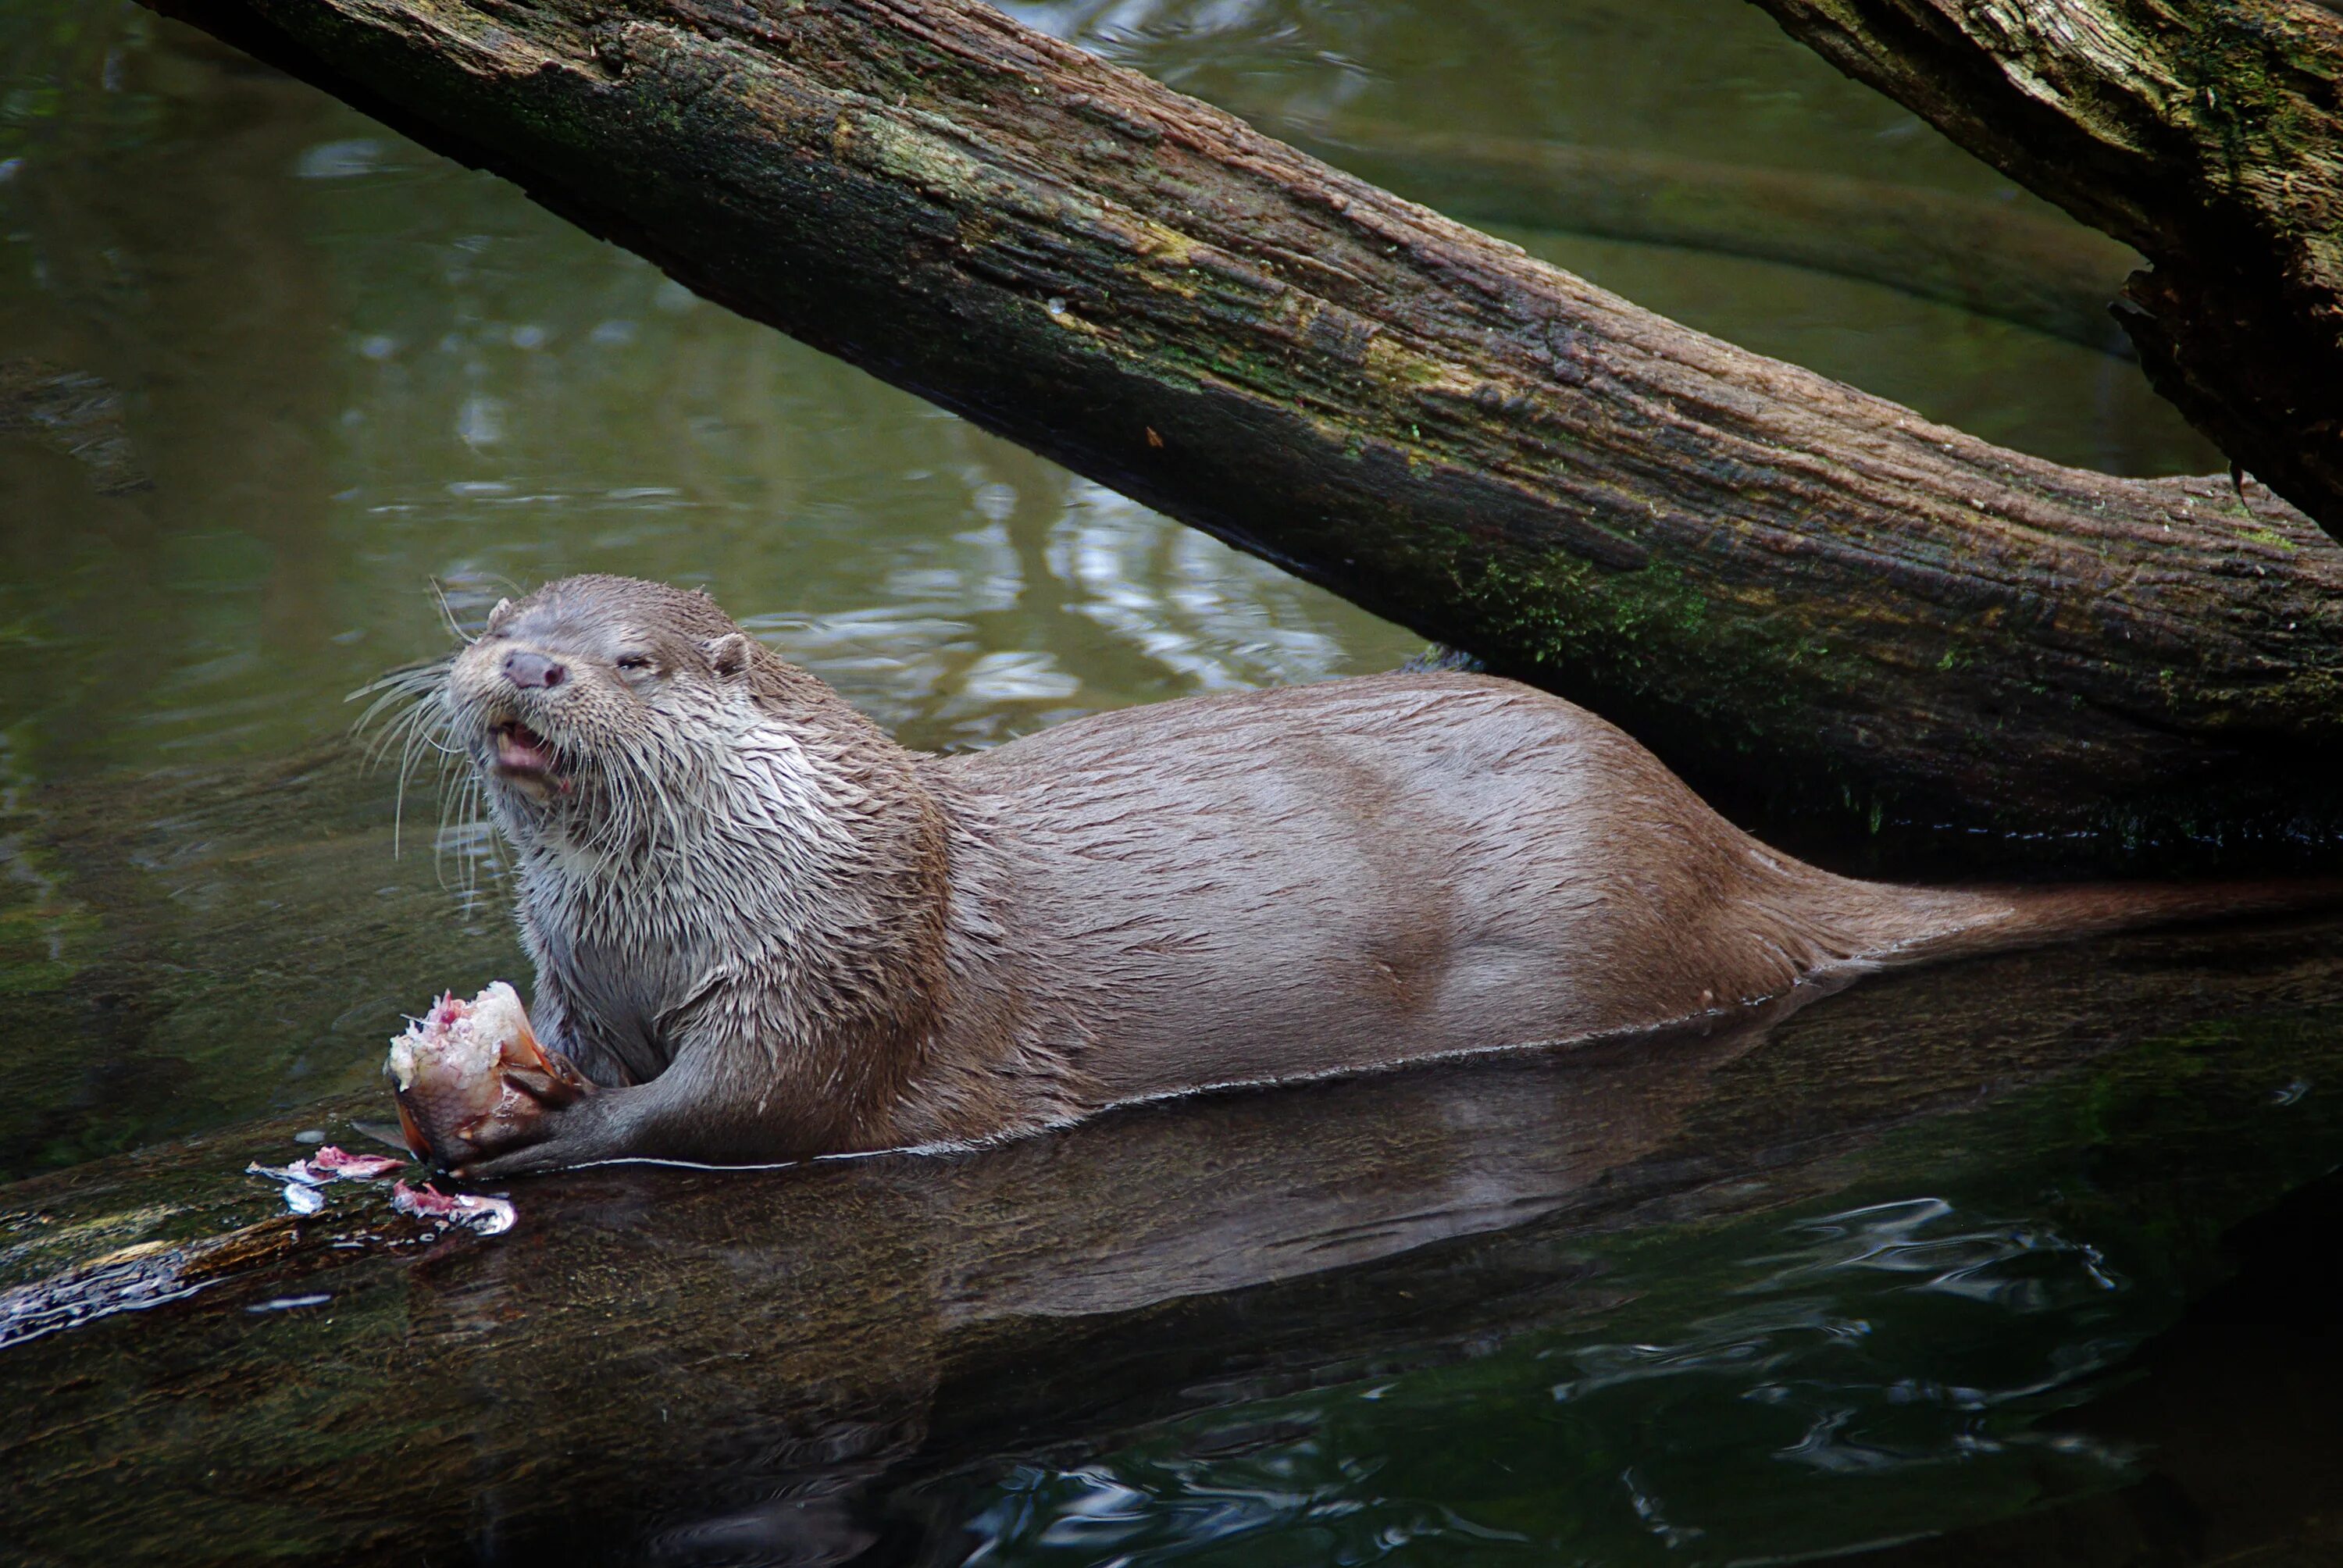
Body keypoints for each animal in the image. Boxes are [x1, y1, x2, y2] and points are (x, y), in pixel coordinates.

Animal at [394, 574, 2315, 1171]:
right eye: (494, 615)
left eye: (632, 659)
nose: (528, 667)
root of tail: (1713, 837)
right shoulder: (587, 974)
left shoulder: (840, 953)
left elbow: (744, 1107)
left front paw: (549, 1128)